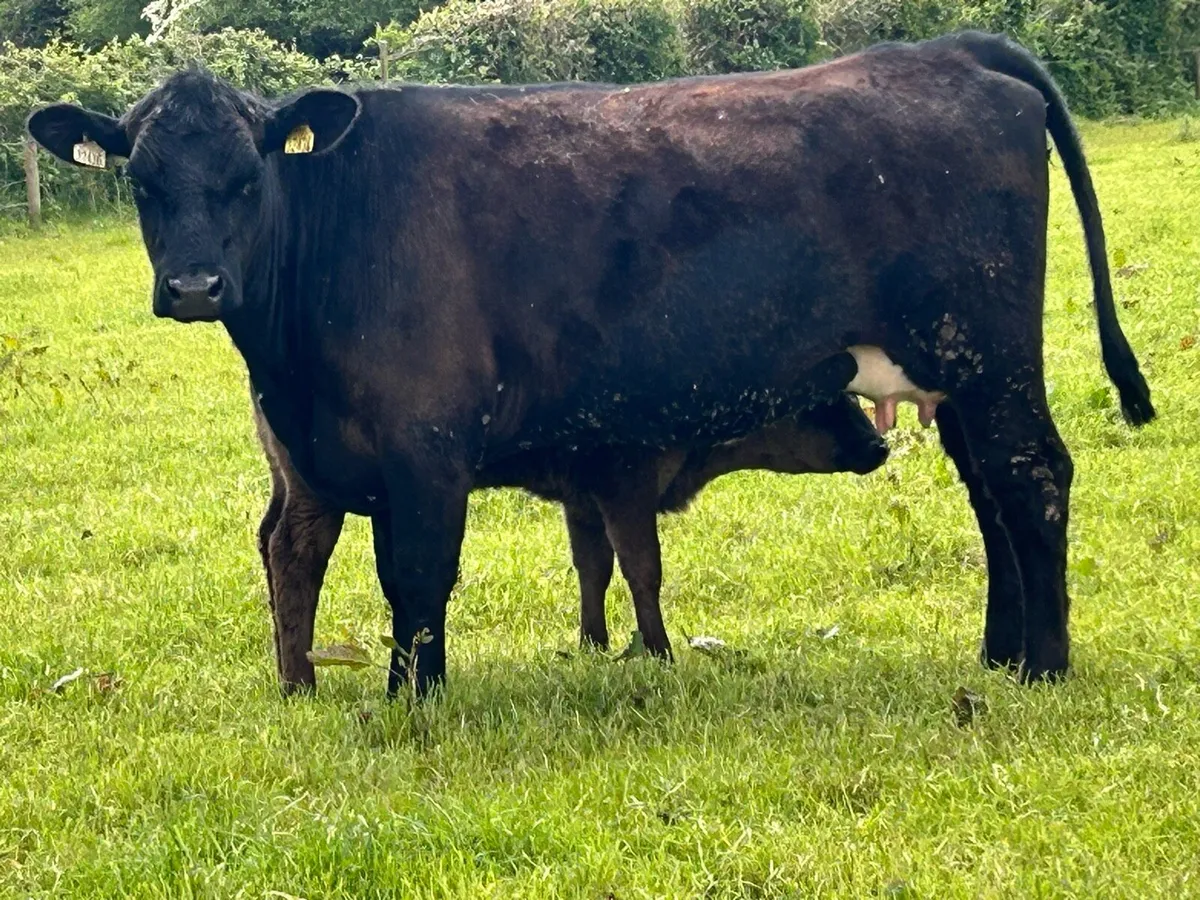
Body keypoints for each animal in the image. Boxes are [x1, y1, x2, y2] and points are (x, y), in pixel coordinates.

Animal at [28, 30, 1155, 697]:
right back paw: (999, 653)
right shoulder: (331, 451)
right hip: (957, 375)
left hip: (990, 355)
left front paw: (413, 704)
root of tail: (945, 51)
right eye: (143, 180)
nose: (194, 287)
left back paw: (1044, 667)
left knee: (1033, 479)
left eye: (248, 173)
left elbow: (417, 575)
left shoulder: (425, 451)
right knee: (991, 493)